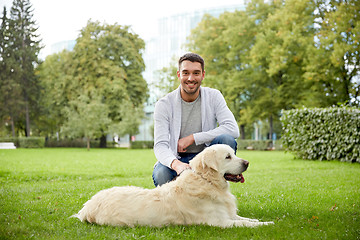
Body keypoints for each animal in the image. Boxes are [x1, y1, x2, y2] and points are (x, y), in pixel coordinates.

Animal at [74, 143, 276, 228]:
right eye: (228, 157)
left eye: (233, 154)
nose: (247, 163)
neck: (207, 181)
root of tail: (87, 206)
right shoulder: (218, 222)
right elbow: (244, 224)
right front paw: (267, 224)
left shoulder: (228, 214)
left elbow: (245, 219)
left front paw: (261, 220)